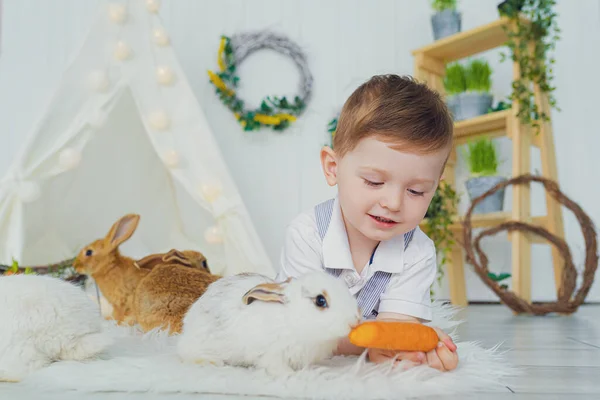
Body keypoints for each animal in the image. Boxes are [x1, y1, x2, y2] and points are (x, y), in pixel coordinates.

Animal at [176, 272, 358, 376]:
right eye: (320, 300)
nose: (354, 321)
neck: (291, 318)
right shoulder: (271, 353)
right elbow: (276, 366)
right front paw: (291, 375)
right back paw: (210, 362)